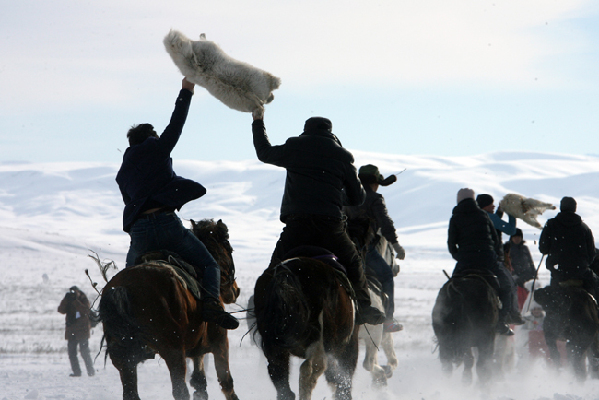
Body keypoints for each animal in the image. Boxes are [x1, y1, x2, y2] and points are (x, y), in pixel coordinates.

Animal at [99, 219, 241, 400]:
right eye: (229, 249)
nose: (235, 290)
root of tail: (123, 288)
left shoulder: (196, 351)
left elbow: (200, 383)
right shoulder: (220, 343)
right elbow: (226, 383)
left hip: (125, 360)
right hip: (173, 353)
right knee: (180, 390)